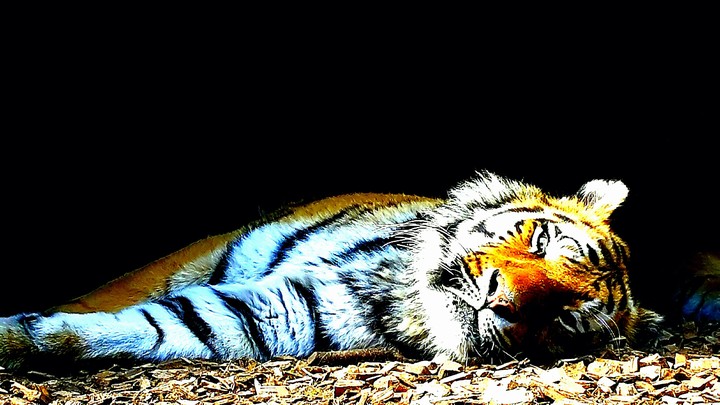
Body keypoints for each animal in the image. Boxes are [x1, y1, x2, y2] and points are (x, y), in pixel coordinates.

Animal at [0, 171, 665, 373]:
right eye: (543, 240)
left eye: (568, 321)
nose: (500, 299)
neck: (403, 292)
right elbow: (100, 302)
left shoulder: (275, 315)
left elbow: (162, 326)